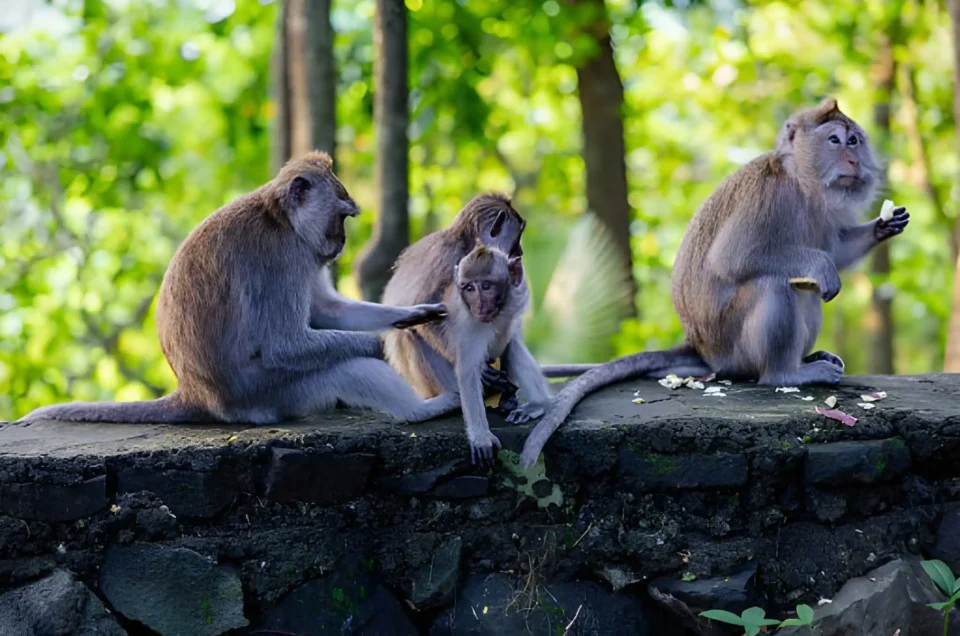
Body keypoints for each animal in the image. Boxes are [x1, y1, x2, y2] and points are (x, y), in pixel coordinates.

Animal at [19, 152, 462, 426]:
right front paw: (380, 345)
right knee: (343, 367)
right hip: (266, 394)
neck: (280, 218)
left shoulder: (301, 253)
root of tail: (195, 394)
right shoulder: (278, 259)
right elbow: (285, 345)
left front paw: (410, 315)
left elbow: (325, 311)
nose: (340, 243)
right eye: (341, 216)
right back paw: (421, 411)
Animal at [519, 98, 910, 468]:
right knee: (775, 284)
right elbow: (733, 257)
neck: (802, 183)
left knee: (806, 291)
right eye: (834, 140)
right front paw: (821, 264)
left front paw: (882, 226)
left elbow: (837, 250)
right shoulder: (771, 197)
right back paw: (786, 373)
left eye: (854, 140)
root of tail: (700, 347)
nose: (853, 161)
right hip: (731, 344)